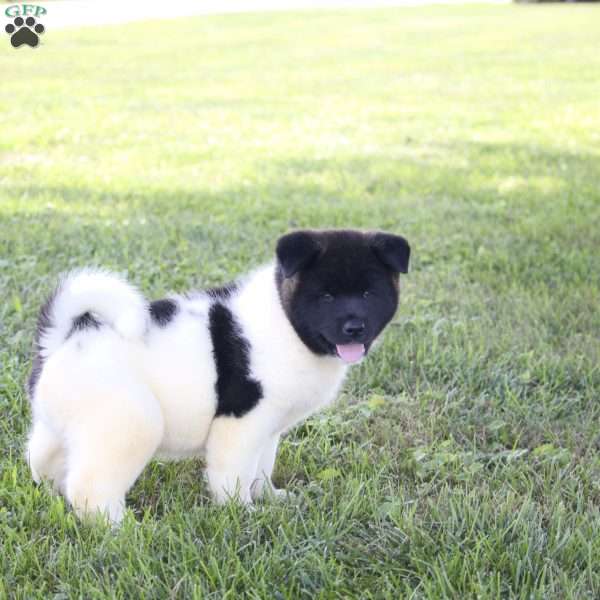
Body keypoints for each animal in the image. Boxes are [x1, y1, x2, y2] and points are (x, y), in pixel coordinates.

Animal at [25, 229, 410, 520]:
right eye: (326, 297)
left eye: (368, 294)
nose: (354, 328)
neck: (287, 323)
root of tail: (64, 339)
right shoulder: (241, 422)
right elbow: (234, 474)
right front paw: (242, 512)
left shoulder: (268, 428)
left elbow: (261, 468)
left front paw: (271, 499)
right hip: (130, 420)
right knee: (88, 487)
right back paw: (120, 527)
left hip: (64, 424)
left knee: (42, 458)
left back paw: (50, 491)